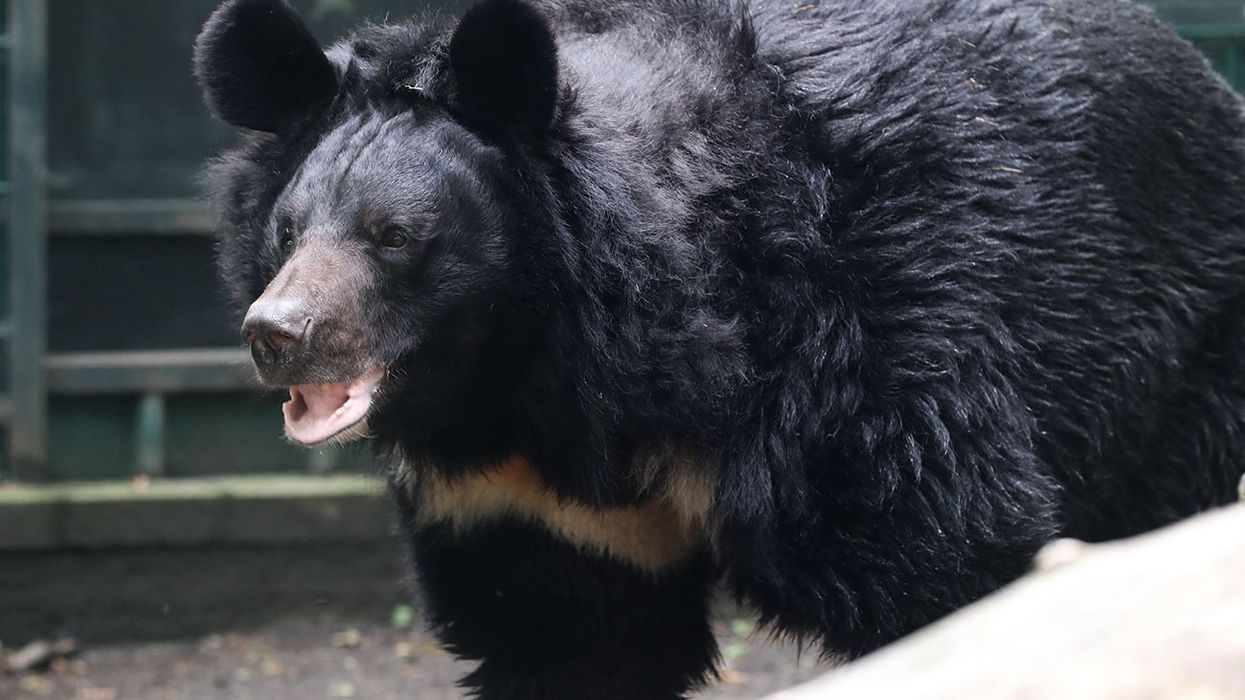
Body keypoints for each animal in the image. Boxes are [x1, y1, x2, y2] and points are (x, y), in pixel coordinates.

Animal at [194, 0, 1245, 697]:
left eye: (395, 236)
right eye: (288, 229)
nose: (278, 335)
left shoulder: (874, 355)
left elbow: (945, 565)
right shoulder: (540, 506)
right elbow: (566, 637)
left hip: (1180, 367)